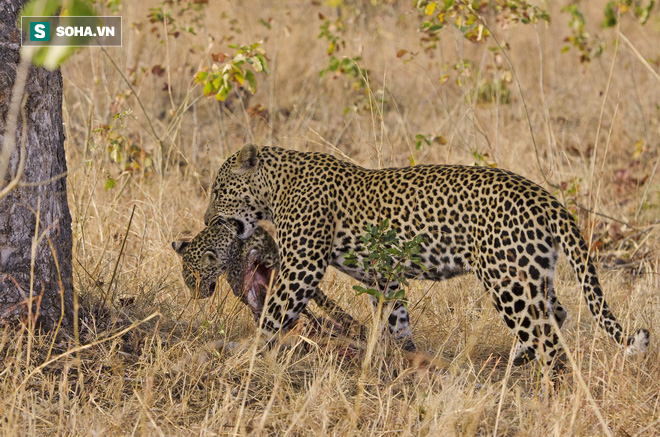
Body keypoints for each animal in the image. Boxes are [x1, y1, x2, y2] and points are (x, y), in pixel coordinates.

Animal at [204, 144, 648, 368]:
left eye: (218, 190)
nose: (207, 218)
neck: (276, 185)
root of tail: (545, 197)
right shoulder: (385, 276)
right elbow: (396, 319)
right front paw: (406, 357)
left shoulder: (302, 265)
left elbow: (274, 314)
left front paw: (244, 353)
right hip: (531, 271)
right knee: (555, 315)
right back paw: (517, 362)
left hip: (507, 279)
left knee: (547, 338)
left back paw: (547, 388)